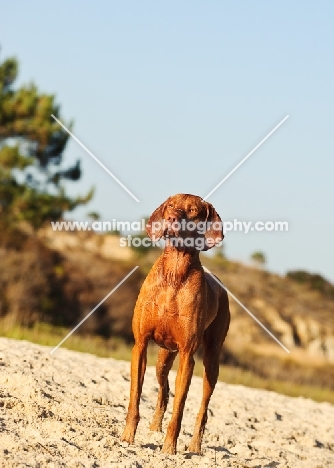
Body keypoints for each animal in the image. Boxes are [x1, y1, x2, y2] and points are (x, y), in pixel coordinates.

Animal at [121, 193, 231, 454]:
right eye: (171, 205)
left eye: (192, 210)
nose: (171, 217)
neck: (175, 272)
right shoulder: (140, 345)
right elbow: (135, 398)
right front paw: (127, 437)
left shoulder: (187, 357)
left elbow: (180, 409)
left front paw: (169, 448)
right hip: (162, 359)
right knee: (164, 391)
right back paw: (154, 428)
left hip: (211, 362)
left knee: (202, 409)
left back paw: (195, 446)